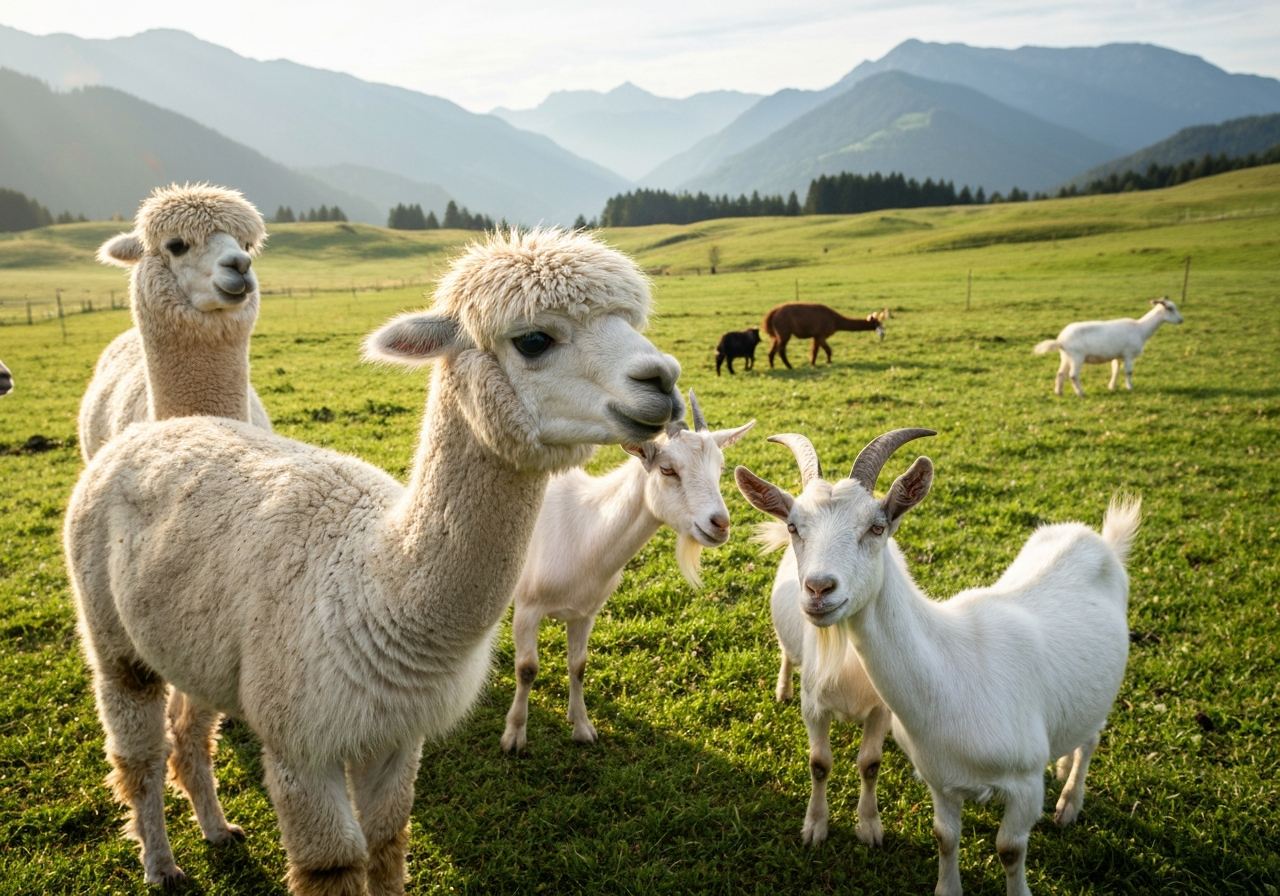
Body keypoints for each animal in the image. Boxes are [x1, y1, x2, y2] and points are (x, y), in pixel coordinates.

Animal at [736, 429, 1137, 896]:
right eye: (793, 527)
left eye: (877, 527)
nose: (819, 589)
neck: (952, 671)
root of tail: (1101, 541)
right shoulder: (942, 781)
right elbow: (945, 837)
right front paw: (948, 887)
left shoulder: (1023, 784)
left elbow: (1010, 849)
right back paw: (1061, 766)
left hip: (1103, 690)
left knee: (1091, 738)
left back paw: (1069, 803)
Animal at [1034, 297, 1183, 396]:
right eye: (1170, 308)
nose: (1181, 320)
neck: (1142, 328)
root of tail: (1060, 340)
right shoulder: (1128, 354)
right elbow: (1128, 372)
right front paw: (1130, 387)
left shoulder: (1118, 355)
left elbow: (1115, 371)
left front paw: (1112, 387)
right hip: (1077, 356)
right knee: (1073, 375)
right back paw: (1081, 393)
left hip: (1066, 357)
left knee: (1061, 373)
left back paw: (1058, 392)